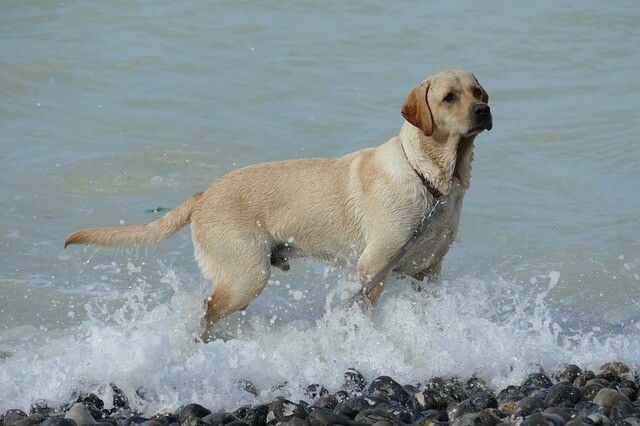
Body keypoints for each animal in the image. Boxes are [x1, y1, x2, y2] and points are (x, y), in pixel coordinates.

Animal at [66, 70, 490, 334]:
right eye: (449, 97)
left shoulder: (428, 271)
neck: (432, 182)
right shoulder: (373, 268)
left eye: (478, 92)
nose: (484, 110)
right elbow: (363, 311)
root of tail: (203, 195)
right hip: (246, 276)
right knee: (204, 313)